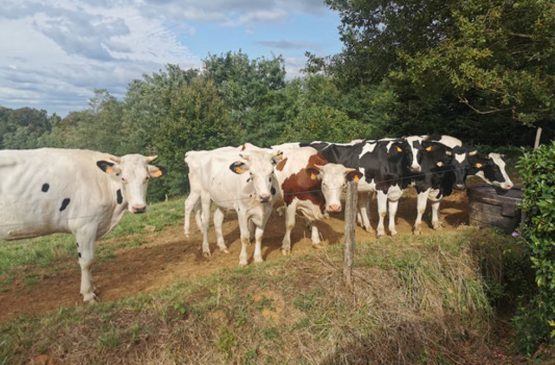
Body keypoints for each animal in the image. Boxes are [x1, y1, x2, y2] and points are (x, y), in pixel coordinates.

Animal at [0, 148, 165, 302]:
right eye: (123, 178)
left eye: (146, 178)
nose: (139, 207)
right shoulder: (84, 225)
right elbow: (86, 261)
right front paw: (88, 294)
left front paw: (93, 288)